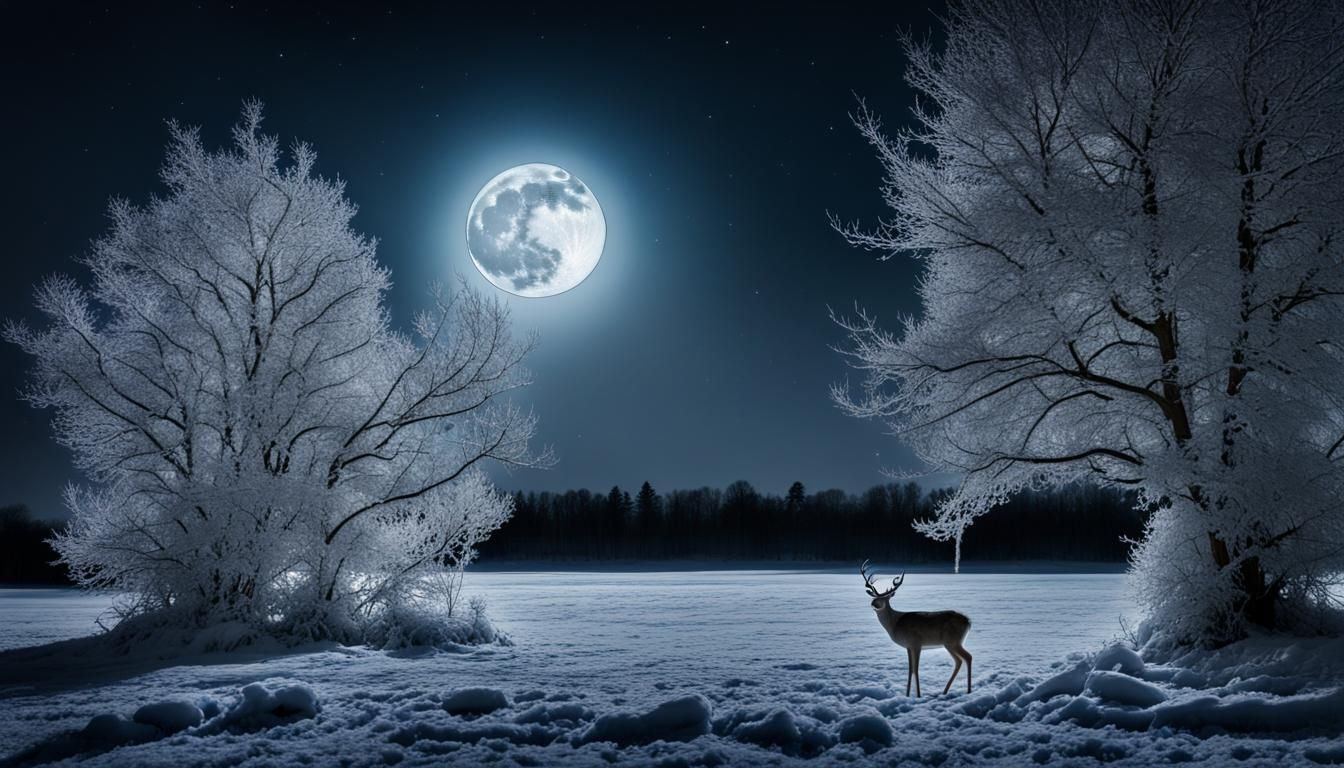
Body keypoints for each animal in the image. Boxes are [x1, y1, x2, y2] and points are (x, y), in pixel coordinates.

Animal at [861, 560, 972, 697]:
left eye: (886, 598)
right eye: (874, 597)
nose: (873, 604)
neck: (895, 624)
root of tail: (968, 621)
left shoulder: (916, 643)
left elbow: (916, 669)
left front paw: (918, 695)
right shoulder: (908, 646)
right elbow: (910, 670)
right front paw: (907, 694)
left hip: (952, 641)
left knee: (967, 657)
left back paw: (967, 690)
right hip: (952, 643)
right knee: (960, 661)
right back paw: (946, 690)